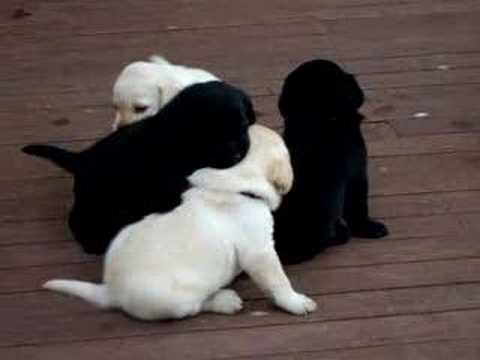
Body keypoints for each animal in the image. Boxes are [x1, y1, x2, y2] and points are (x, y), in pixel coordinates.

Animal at [22, 81, 255, 256]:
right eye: (212, 133)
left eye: (243, 125)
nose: (237, 154)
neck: (180, 137)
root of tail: (81, 158)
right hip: (95, 198)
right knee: (77, 218)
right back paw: (93, 244)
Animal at [43, 125, 316, 320]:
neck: (237, 180)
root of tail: (111, 291)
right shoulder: (260, 252)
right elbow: (278, 280)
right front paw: (296, 302)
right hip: (177, 301)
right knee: (196, 307)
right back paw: (225, 301)